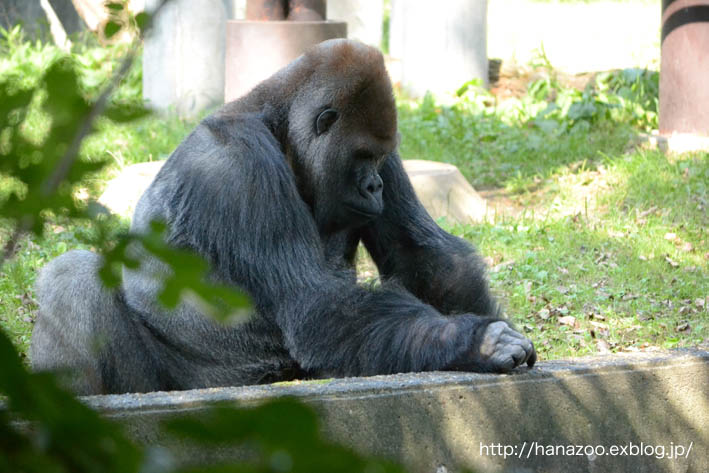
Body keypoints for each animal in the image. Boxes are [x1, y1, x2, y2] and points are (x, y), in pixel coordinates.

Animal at [30, 37, 532, 394]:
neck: (278, 124)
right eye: (361, 157)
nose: (374, 186)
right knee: (71, 275)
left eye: (377, 158)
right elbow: (316, 305)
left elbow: (422, 256)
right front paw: (478, 341)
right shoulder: (239, 166)